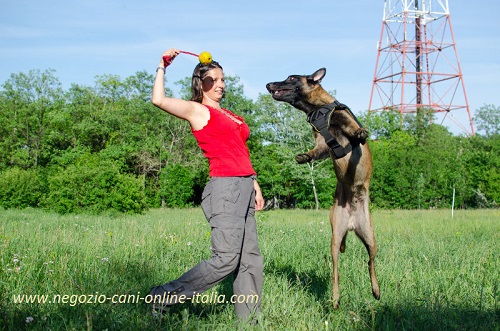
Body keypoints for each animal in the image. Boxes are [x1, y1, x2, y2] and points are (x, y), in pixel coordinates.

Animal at [266, 68, 378, 310]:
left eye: (291, 78)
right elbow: (316, 151)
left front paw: (360, 133)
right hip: (335, 240)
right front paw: (304, 156)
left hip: (371, 238)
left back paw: (376, 290)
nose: (269, 84)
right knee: (336, 270)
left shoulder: (344, 121)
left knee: (371, 263)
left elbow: (353, 130)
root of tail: (352, 223)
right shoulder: (321, 143)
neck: (318, 109)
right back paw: (335, 298)